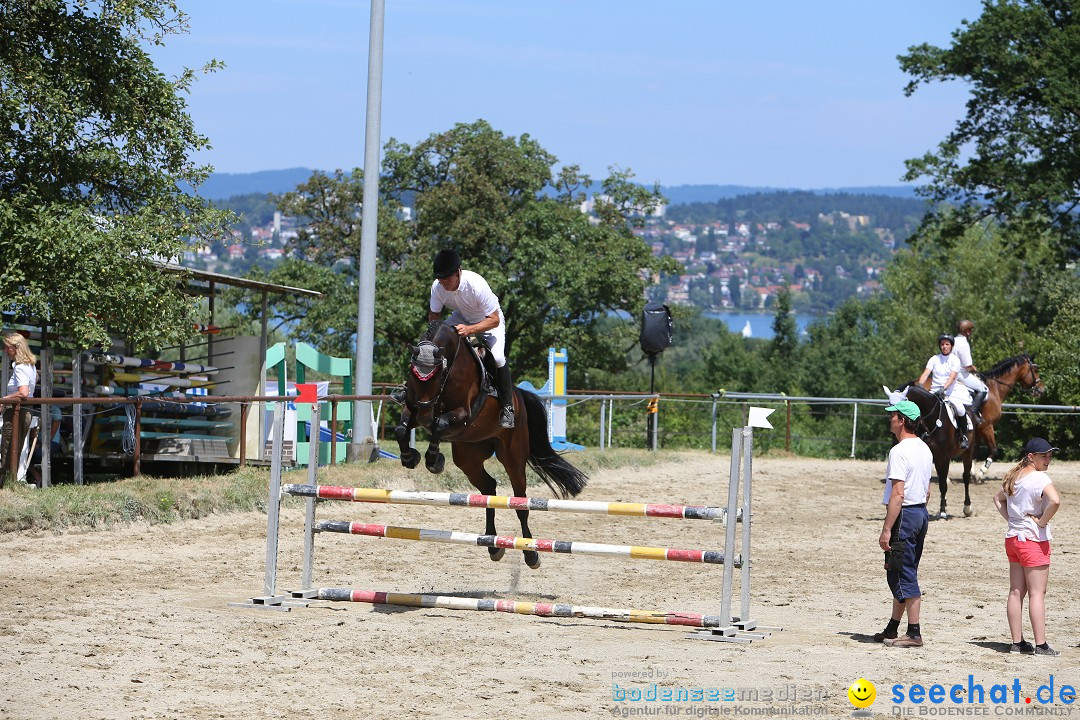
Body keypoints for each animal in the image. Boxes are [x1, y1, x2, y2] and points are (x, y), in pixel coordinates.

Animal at [393, 321, 587, 569]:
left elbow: (439, 424)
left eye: (439, 375)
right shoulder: (413, 406)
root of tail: (517, 395)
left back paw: (530, 553)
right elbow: (401, 429)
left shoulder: (462, 414)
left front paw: (433, 459)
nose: (425, 415)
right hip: (468, 458)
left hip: (513, 457)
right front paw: (411, 457)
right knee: (488, 489)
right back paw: (493, 545)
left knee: (520, 502)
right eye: (412, 373)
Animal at [902, 354, 1045, 518]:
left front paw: (973, 473)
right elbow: (993, 450)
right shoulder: (987, 426)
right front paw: (980, 474)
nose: (1041, 389)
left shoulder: (976, 432)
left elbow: (974, 452)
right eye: (1035, 369)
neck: (995, 388)